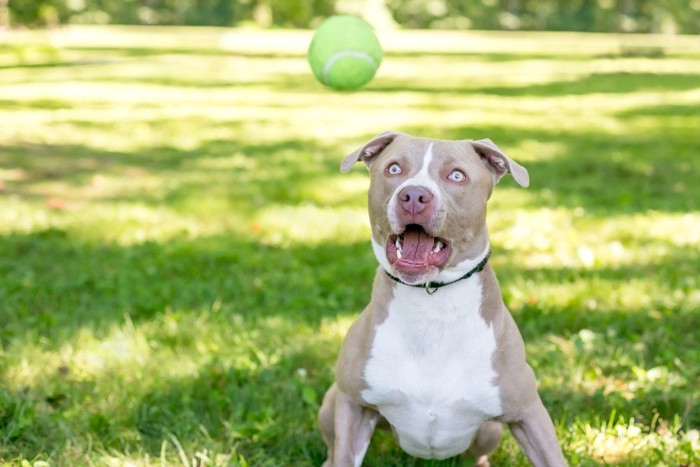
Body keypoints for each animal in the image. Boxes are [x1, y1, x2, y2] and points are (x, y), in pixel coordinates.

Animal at [320, 133, 568, 467]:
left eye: (457, 175)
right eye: (394, 168)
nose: (413, 196)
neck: (431, 300)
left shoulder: (528, 413)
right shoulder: (352, 404)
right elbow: (345, 455)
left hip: (491, 431)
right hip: (331, 401)